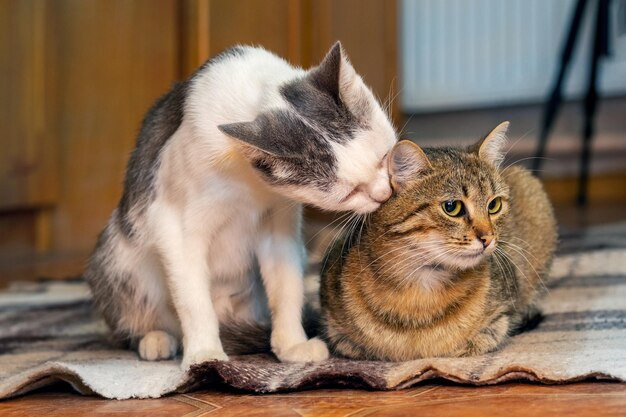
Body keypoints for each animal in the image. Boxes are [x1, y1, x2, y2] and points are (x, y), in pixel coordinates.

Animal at [84, 41, 394, 368]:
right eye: (350, 192)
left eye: (383, 158)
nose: (383, 194)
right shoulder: (173, 222)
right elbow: (193, 298)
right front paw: (204, 354)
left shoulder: (279, 219)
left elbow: (287, 285)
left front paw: (292, 345)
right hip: (118, 260)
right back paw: (155, 338)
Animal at [320, 122, 552, 360]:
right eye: (452, 207)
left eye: (494, 205)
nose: (488, 238)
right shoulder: (336, 330)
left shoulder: (503, 314)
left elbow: (484, 336)